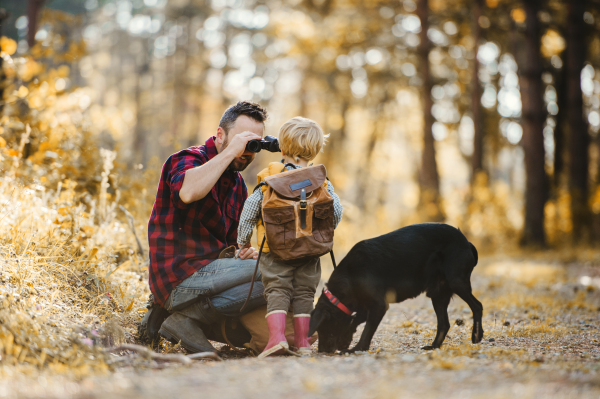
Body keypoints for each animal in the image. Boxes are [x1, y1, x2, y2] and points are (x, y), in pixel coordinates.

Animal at [310, 223, 482, 354]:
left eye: (323, 328)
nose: (321, 351)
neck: (350, 275)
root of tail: (466, 242)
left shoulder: (379, 306)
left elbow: (366, 331)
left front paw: (357, 349)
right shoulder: (365, 307)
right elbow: (354, 321)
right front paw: (345, 341)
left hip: (456, 282)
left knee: (477, 306)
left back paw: (477, 335)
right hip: (438, 295)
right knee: (444, 323)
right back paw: (433, 346)